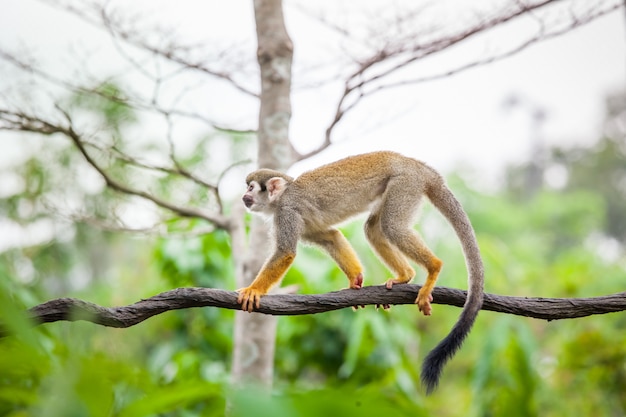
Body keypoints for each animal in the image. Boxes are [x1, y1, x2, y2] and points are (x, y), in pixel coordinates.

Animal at [235, 151, 482, 392]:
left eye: (251, 188)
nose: (243, 197)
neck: (282, 196)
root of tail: (421, 167)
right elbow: (331, 237)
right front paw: (355, 280)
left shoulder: (287, 212)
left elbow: (286, 253)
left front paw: (253, 290)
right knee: (374, 228)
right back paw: (405, 275)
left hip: (405, 184)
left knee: (392, 226)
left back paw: (433, 268)